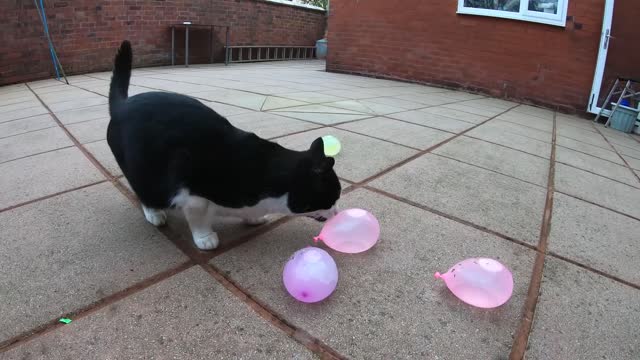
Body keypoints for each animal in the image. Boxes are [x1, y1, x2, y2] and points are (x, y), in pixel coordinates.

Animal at [107, 41, 342, 250]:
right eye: (333, 197)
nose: (337, 213)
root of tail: (122, 105)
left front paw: (253, 218)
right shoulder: (192, 192)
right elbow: (198, 217)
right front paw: (204, 237)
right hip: (142, 169)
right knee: (145, 191)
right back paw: (154, 213)